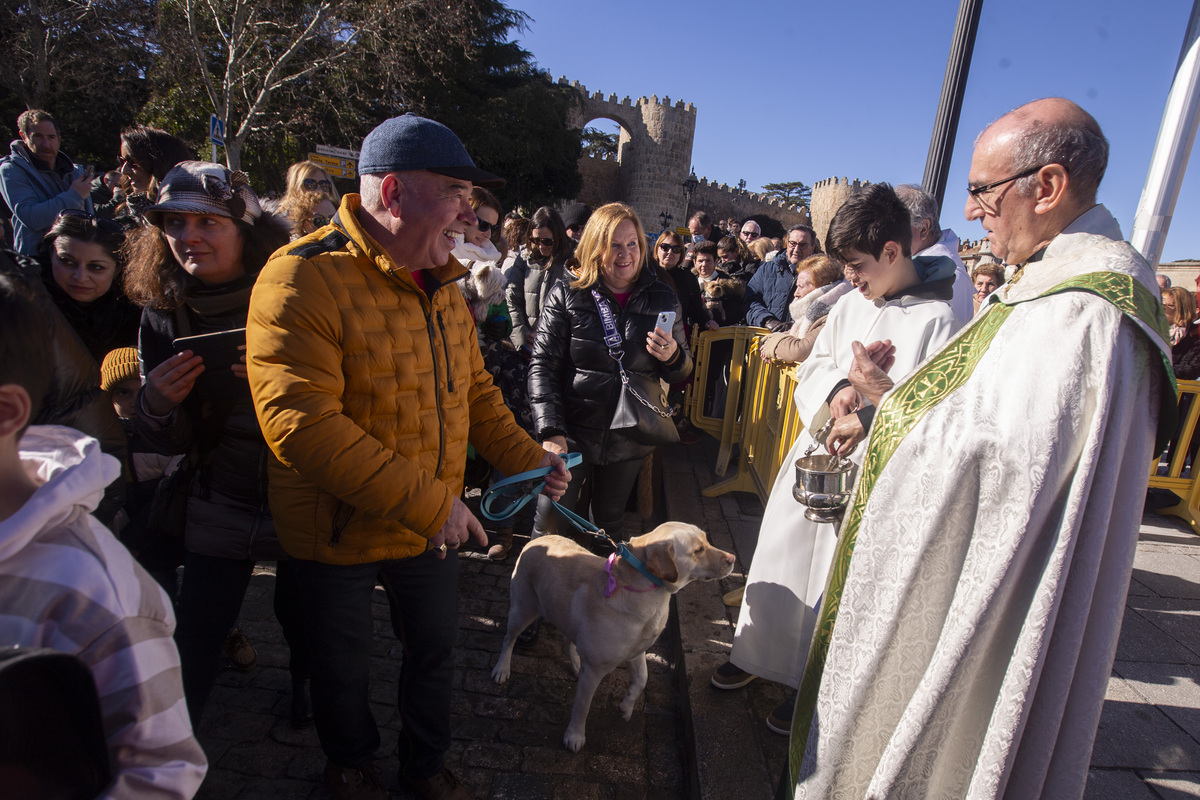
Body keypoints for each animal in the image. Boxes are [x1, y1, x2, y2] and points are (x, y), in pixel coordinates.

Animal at [492, 522, 734, 753]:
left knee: (568, 641)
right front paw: (574, 736)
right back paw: (501, 669)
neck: (649, 595)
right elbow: (582, 707)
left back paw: (576, 666)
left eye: (706, 540)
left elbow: (642, 680)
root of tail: (538, 539)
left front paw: (626, 707)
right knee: (508, 639)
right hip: (523, 609)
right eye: (698, 550)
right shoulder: (594, 670)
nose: (732, 559)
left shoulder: (637, 652)